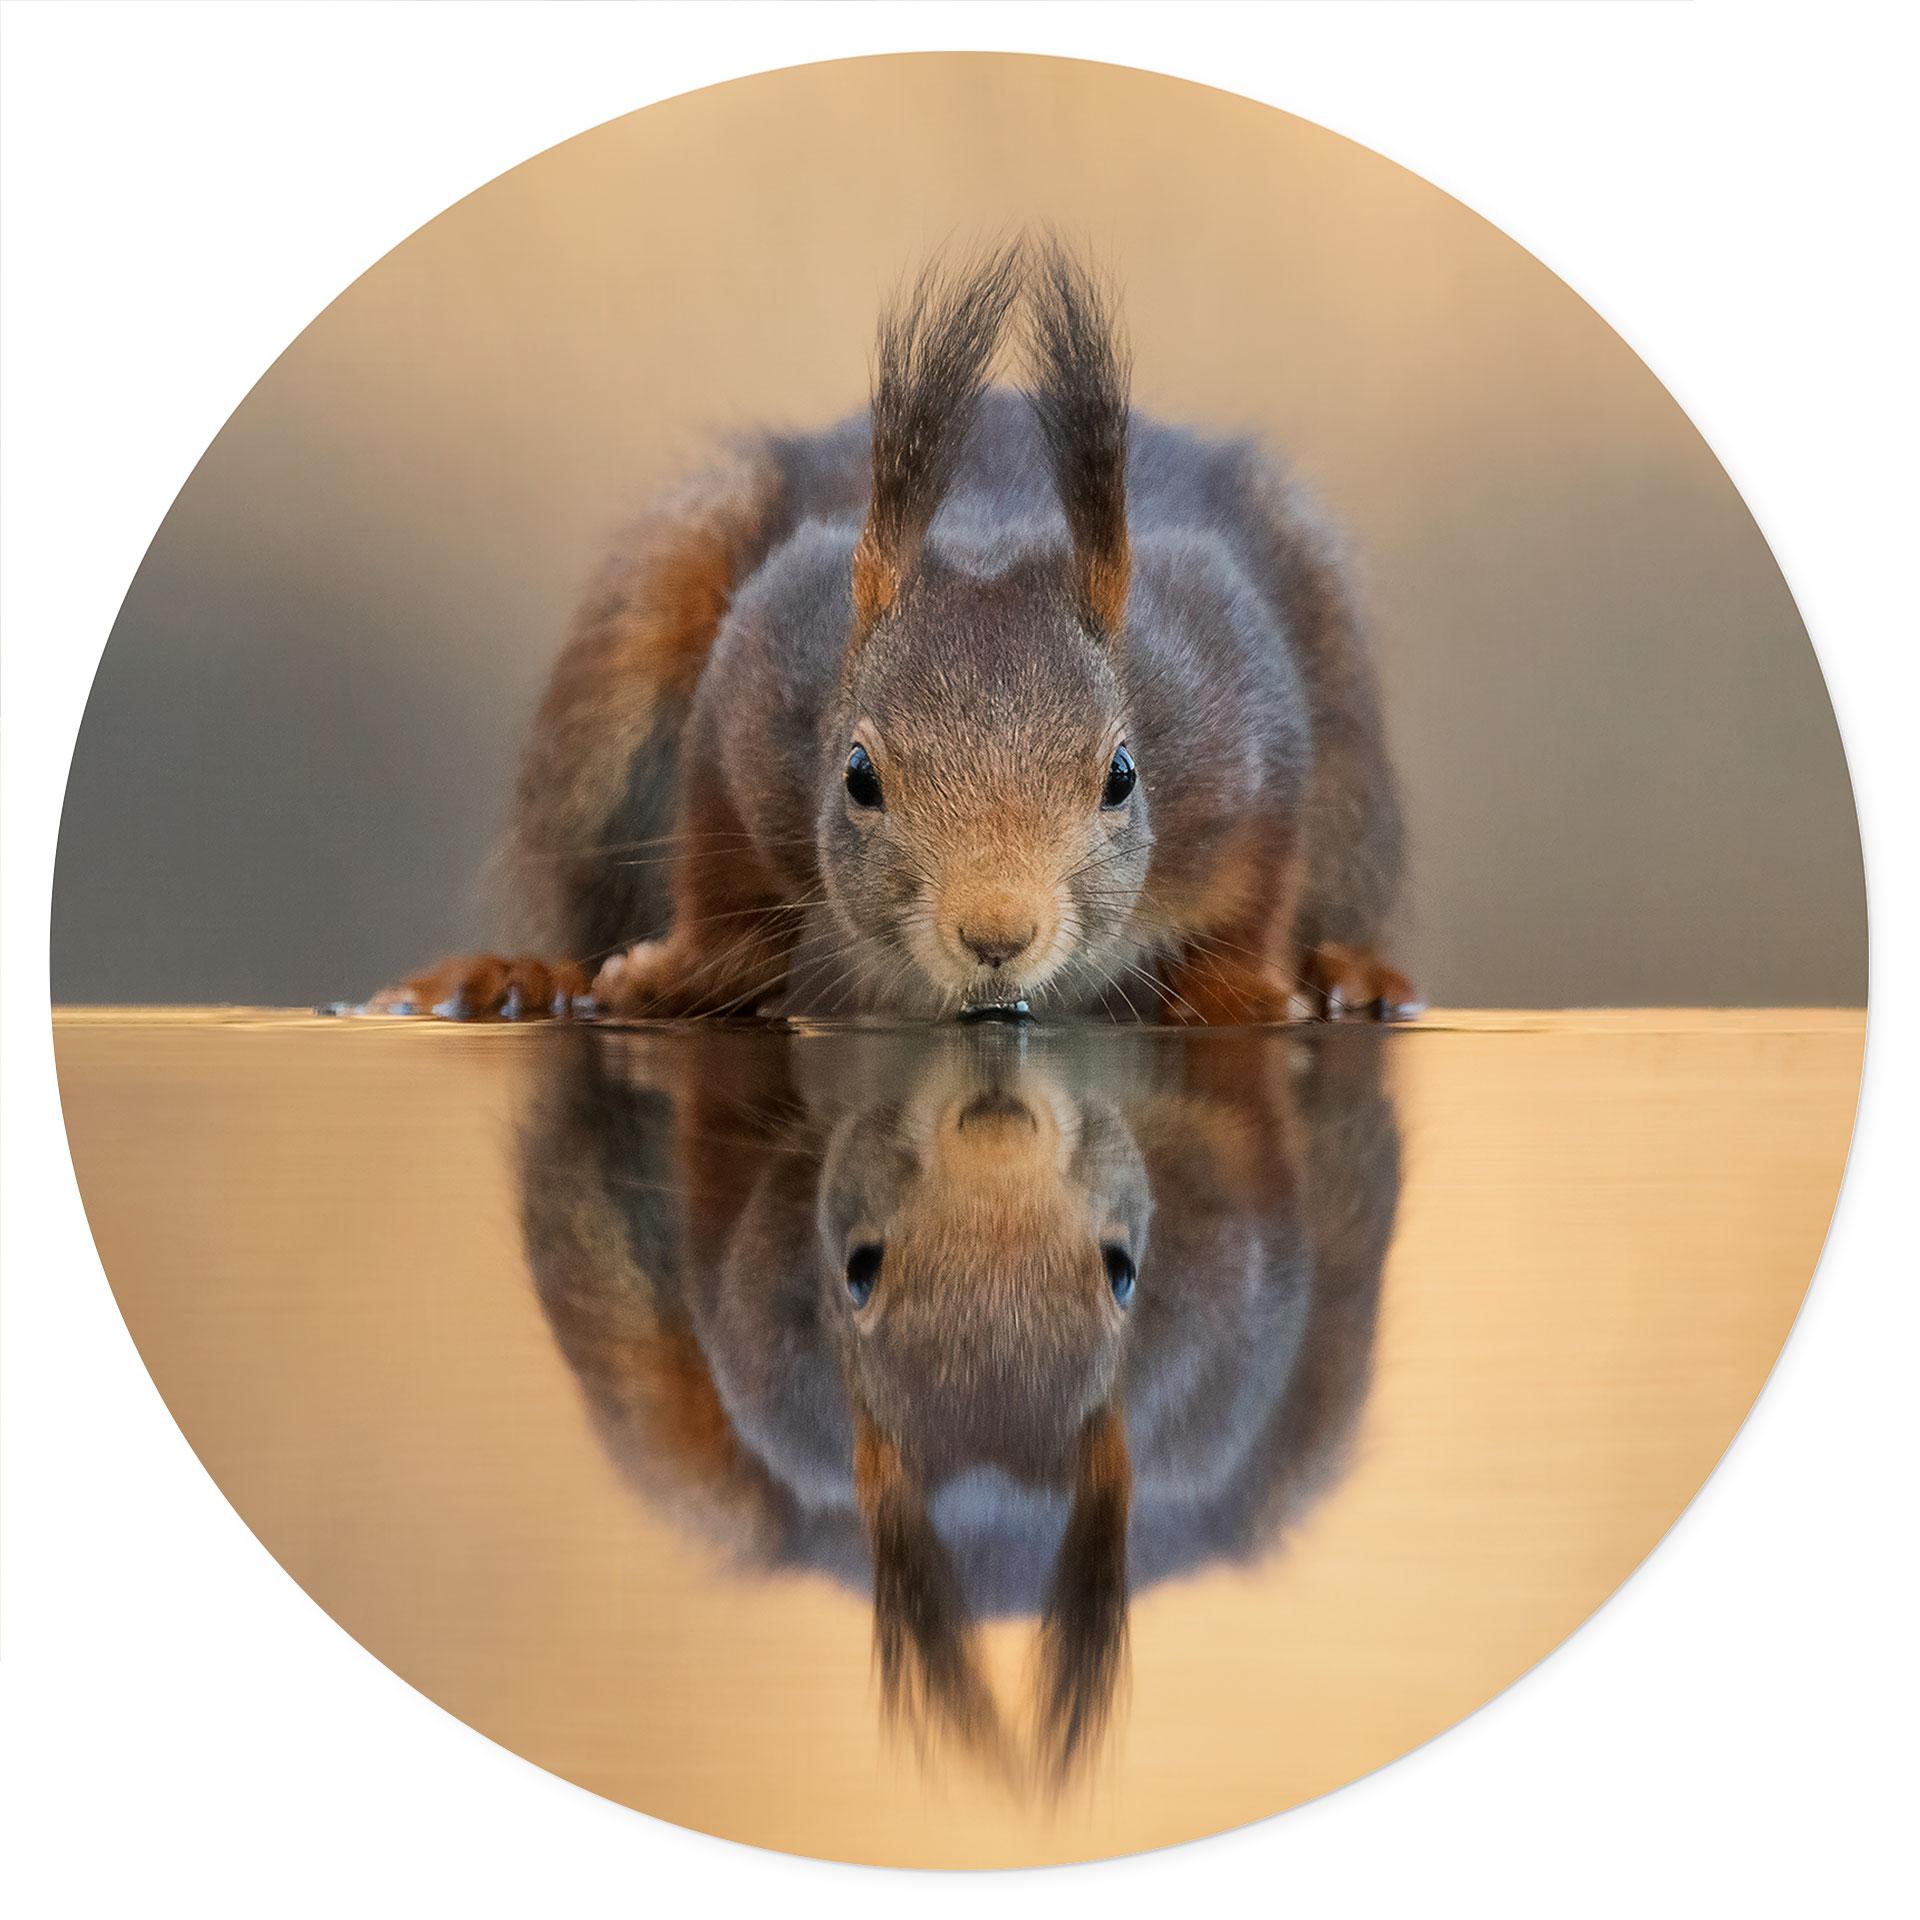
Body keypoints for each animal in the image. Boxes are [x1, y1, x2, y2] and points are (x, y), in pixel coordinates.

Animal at [370, 240, 1418, 1024]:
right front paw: (677, 974)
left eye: (1121, 776)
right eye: (858, 777)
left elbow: (1259, 890)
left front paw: (1246, 992)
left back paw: (1353, 976)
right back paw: (516, 979)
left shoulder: (1238, 710)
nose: (995, 937)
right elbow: (720, 879)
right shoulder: (759, 680)